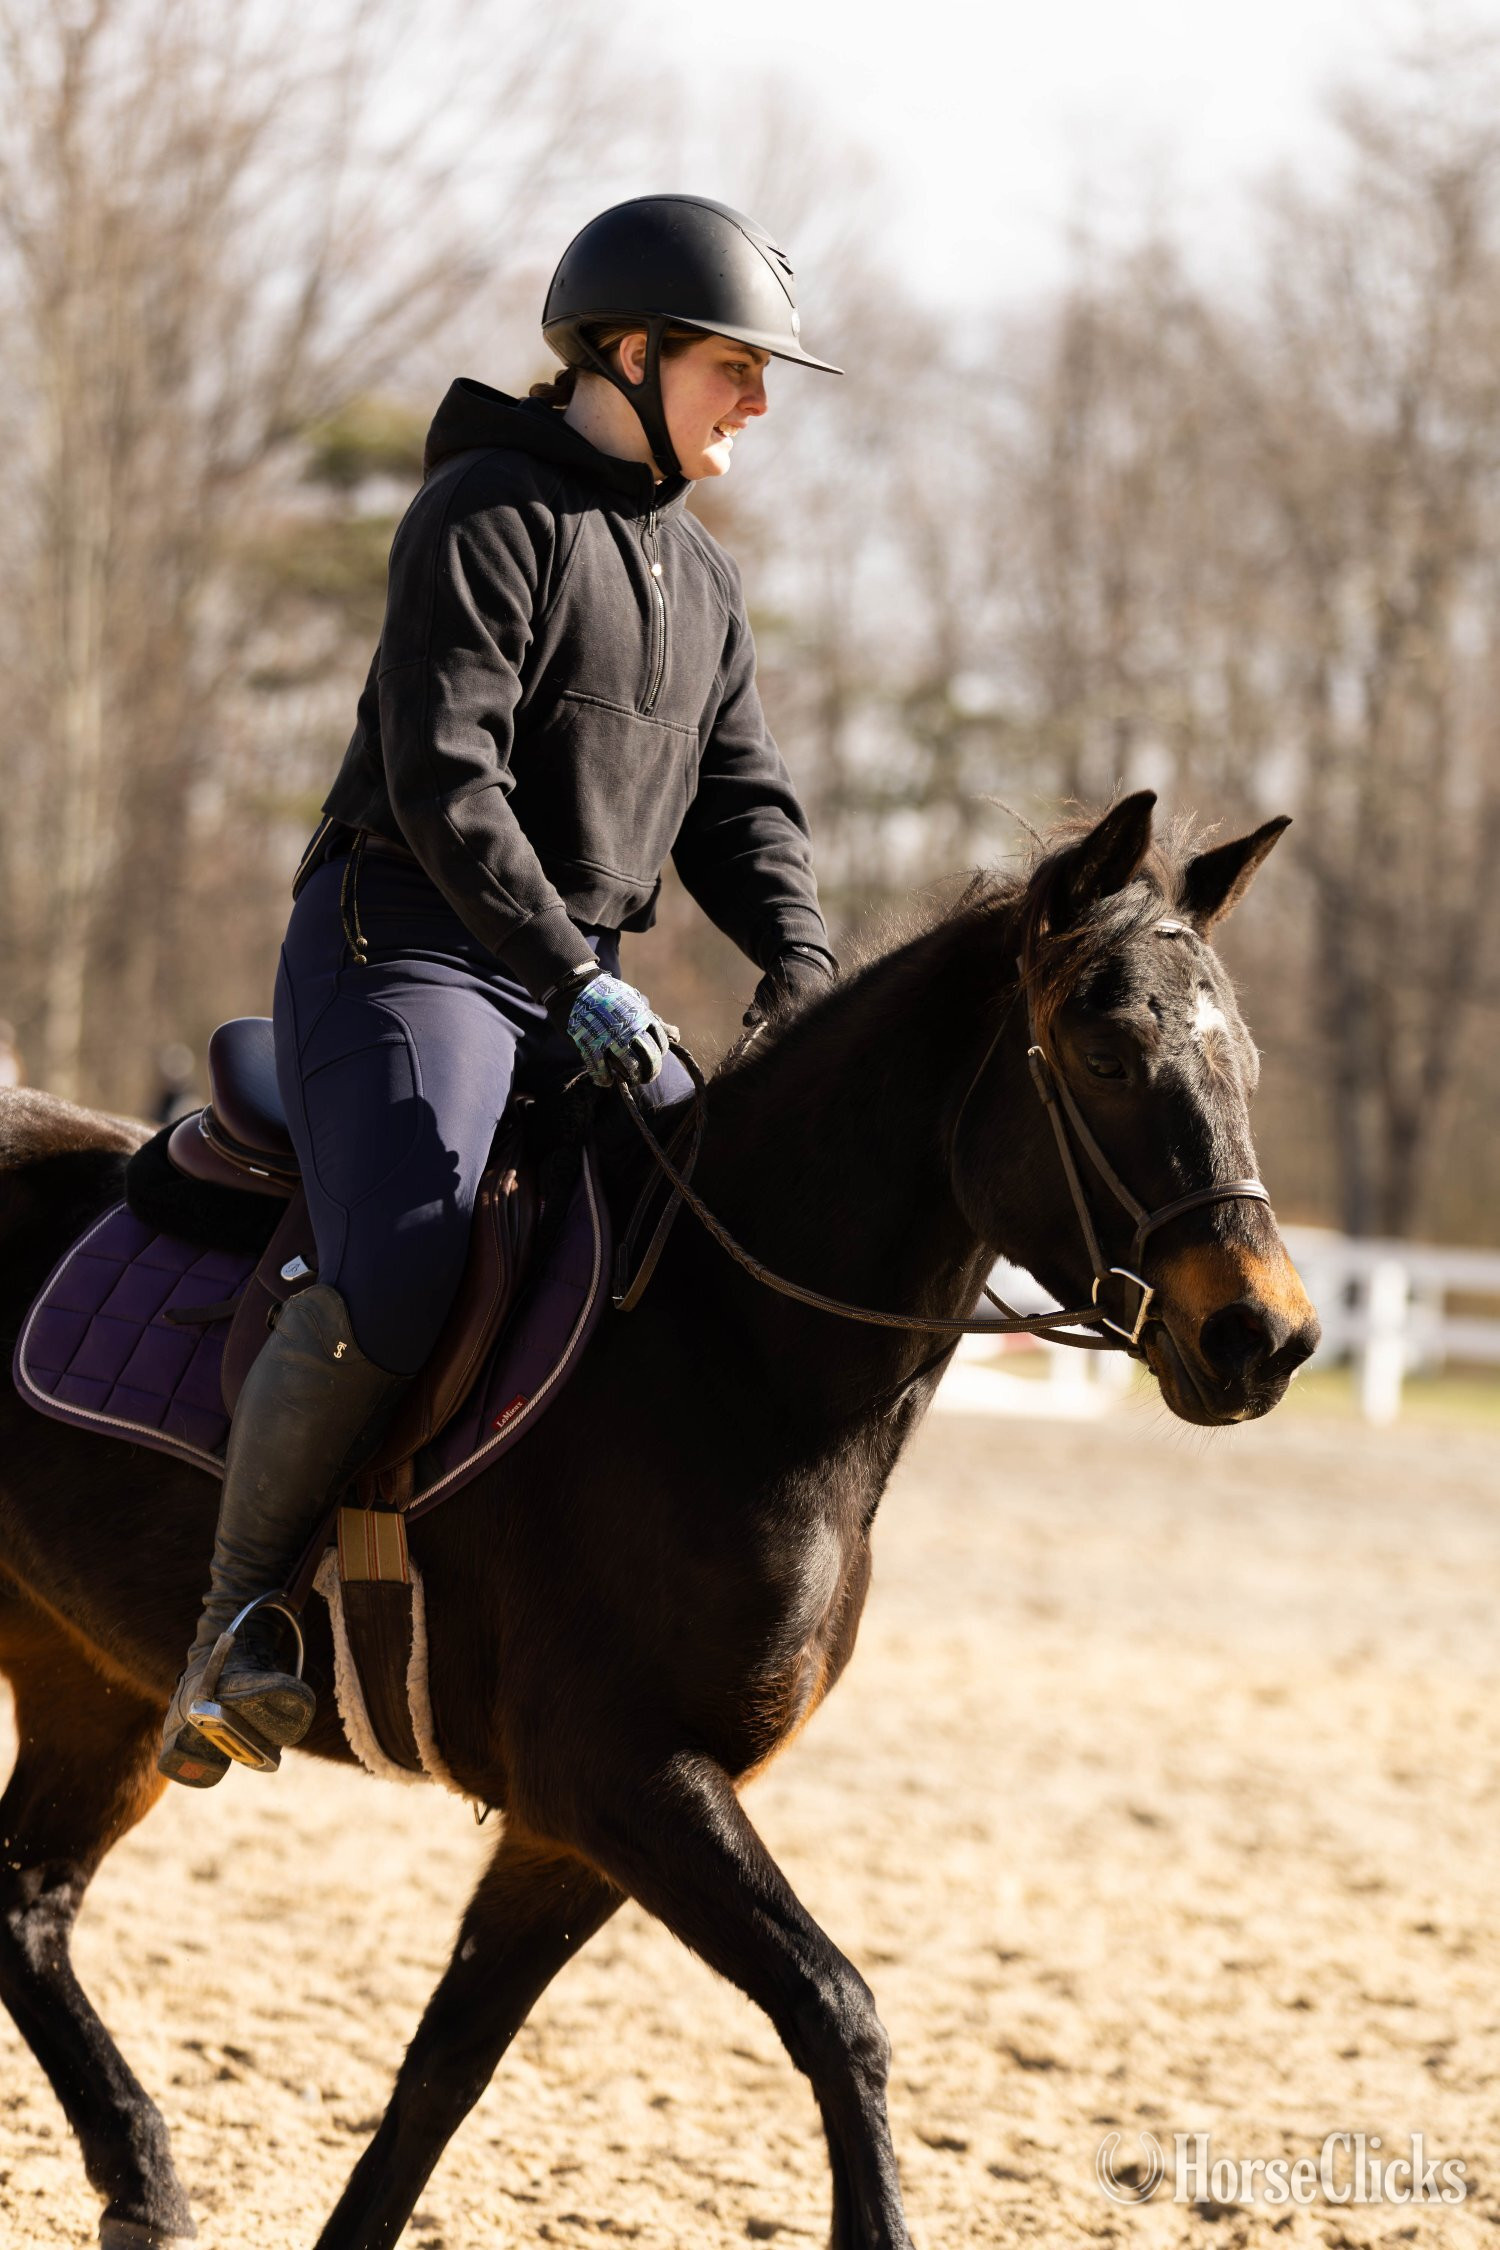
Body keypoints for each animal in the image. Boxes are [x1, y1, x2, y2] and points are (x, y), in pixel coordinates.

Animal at [0, 793, 1318, 2250]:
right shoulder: (621, 1776)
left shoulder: (574, 1829)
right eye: (1105, 1051)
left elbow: (440, 2076)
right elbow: (837, 2010)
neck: (729, 1349)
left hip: (94, 1683)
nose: (1265, 1335)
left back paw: (141, 2177)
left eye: (1244, 1059)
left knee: (26, 1906)